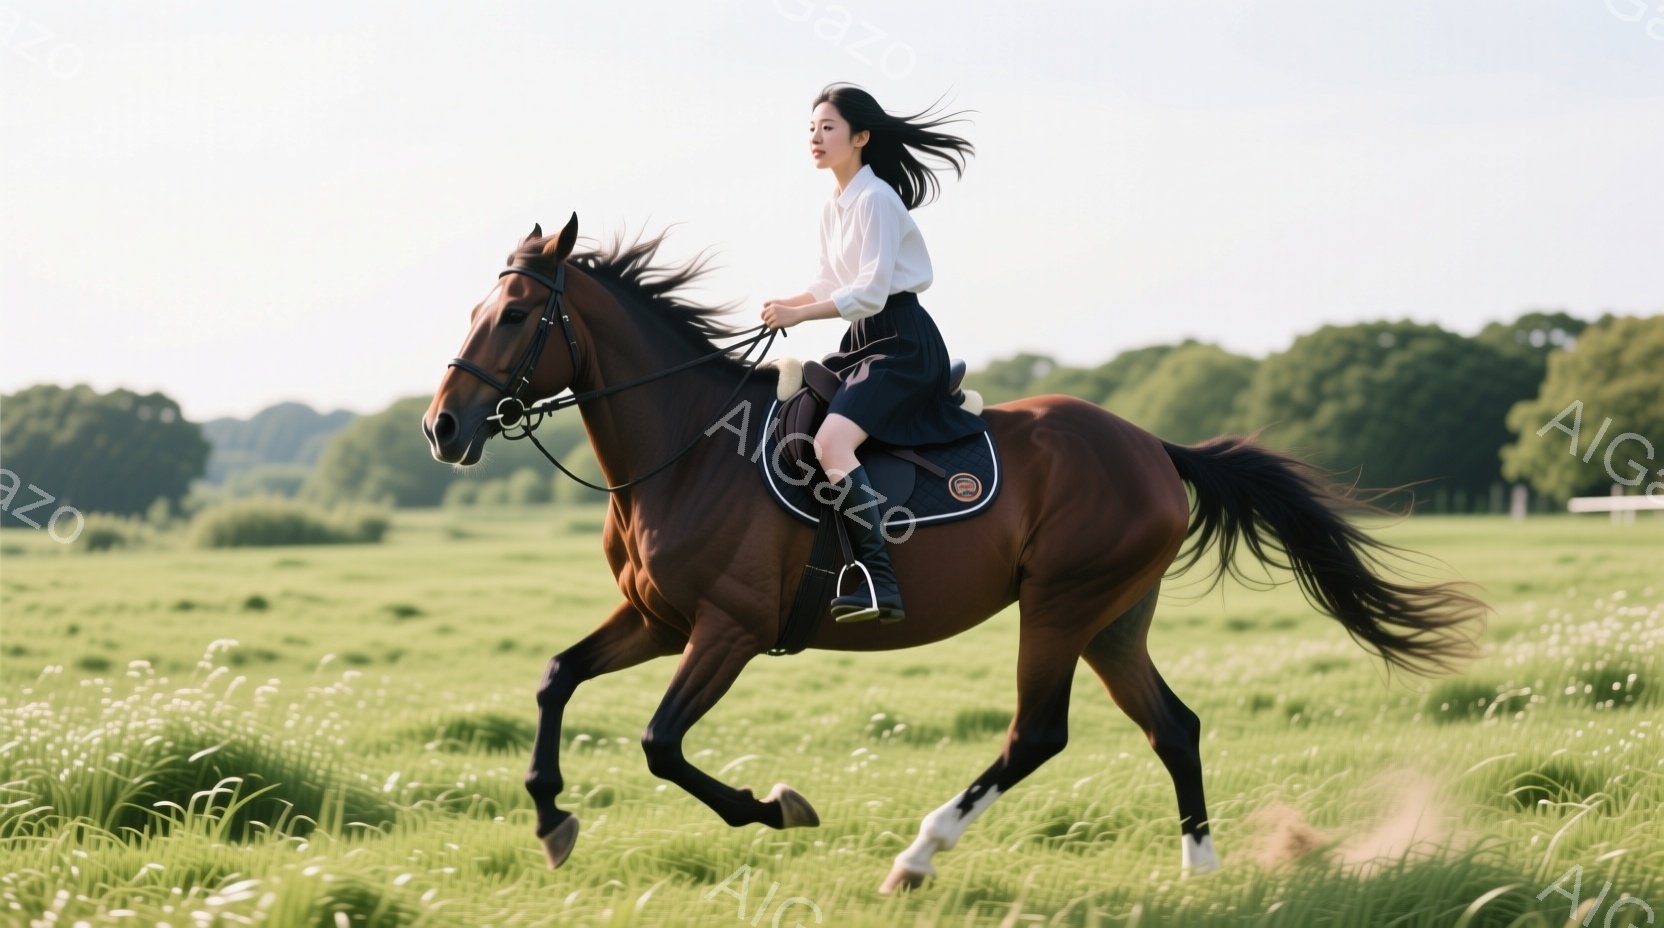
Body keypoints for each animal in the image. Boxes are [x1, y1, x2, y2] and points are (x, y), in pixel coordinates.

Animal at [422, 214, 1485, 893]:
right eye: (476, 309)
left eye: (513, 315)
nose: (442, 429)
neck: (686, 450)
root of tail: (1152, 444)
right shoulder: (655, 618)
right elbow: (556, 678)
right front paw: (550, 818)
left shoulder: (727, 630)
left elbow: (659, 744)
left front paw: (779, 807)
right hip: (1114, 620)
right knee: (1173, 726)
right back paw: (1202, 869)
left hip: (1060, 607)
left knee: (1036, 735)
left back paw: (917, 858)